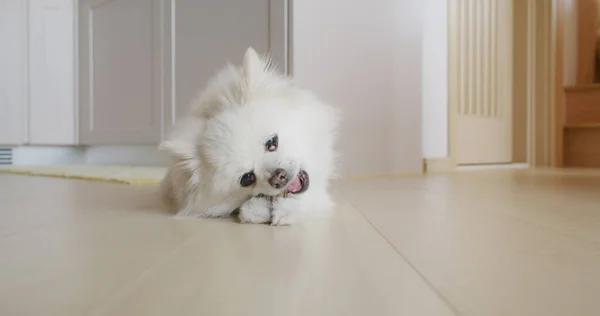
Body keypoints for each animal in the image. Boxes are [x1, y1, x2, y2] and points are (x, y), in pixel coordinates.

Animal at [158, 47, 338, 226]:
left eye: (272, 142)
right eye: (247, 178)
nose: (278, 177)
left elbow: (311, 196)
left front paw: (288, 209)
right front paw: (256, 208)